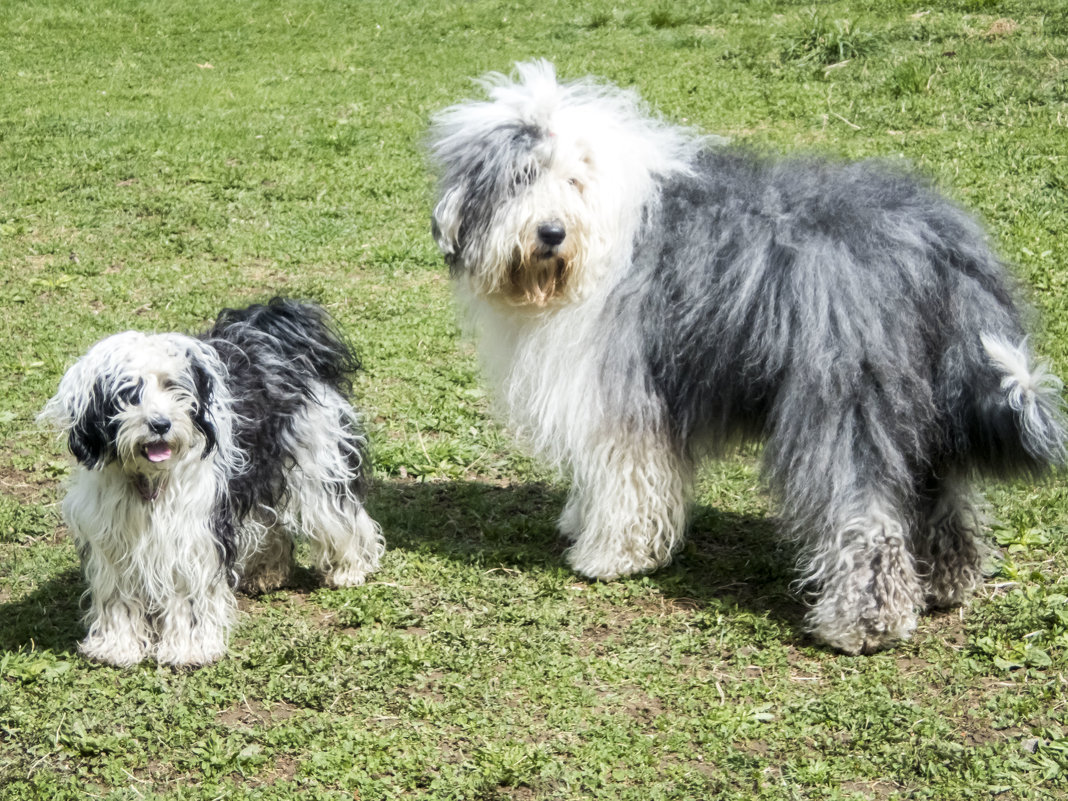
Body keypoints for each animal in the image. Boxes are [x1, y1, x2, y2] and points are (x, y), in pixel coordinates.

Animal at [40, 299, 384, 666]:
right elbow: (118, 593)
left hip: (317, 461)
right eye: (129, 393)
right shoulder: (113, 534)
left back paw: (350, 568)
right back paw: (266, 573)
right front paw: (117, 646)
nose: (160, 424)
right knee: (268, 520)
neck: (149, 479)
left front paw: (189, 648)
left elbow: (187, 591)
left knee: (340, 515)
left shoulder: (190, 531)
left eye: (173, 386)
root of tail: (273, 328)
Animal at [427, 61, 1068, 653]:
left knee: (865, 516)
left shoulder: (621, 392)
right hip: (925, 397)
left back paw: (861, 626)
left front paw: (611, 555)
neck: (594, 242)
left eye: (574, 178)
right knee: (941, 495)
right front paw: (581, 521)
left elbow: (627, 480)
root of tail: (937, 242)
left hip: (843, 401)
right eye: (522, 177)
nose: (552, 233)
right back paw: (946, 584)